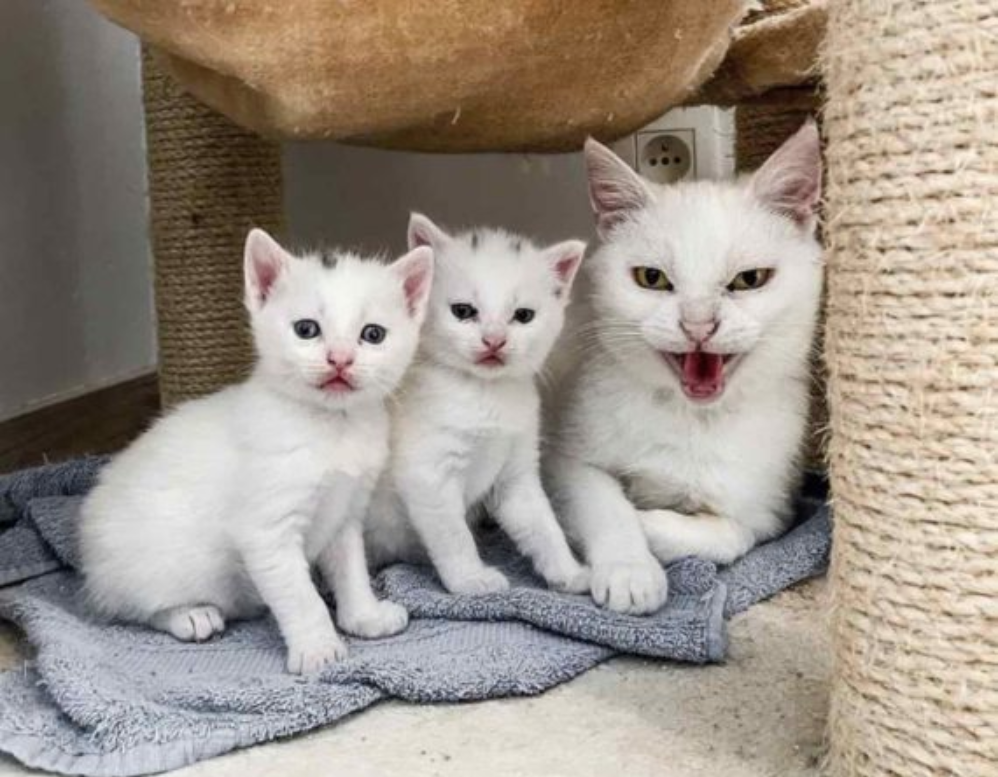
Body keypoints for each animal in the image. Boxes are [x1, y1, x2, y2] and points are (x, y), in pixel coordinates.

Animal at [79, 229, 434, 672]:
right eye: (306, 329)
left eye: (373, 335)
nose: (340, 359)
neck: (333, 429)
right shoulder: (266, 532)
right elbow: (301, 597)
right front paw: (318, 648)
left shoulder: (347, 511)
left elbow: (352, 570)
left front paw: (363, 617)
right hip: (152, 563)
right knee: (133, 606)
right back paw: (191, 614)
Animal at [364, 214, 588, 596]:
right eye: (463, 311)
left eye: (523, 315)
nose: (494, 340)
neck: (486, 395)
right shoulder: (428, 474)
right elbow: (454, 535)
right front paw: (470, 580)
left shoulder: (516, 475)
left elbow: (543, 526)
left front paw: (569, 572)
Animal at [544, 124, 824, 612]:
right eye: (651, 278)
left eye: (749, 279)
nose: (698, 325)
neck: (693, 420)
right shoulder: (565, 459)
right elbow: (604, 503)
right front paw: (630, 572)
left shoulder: (771, 510)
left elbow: (734, 533)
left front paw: (653, 523)